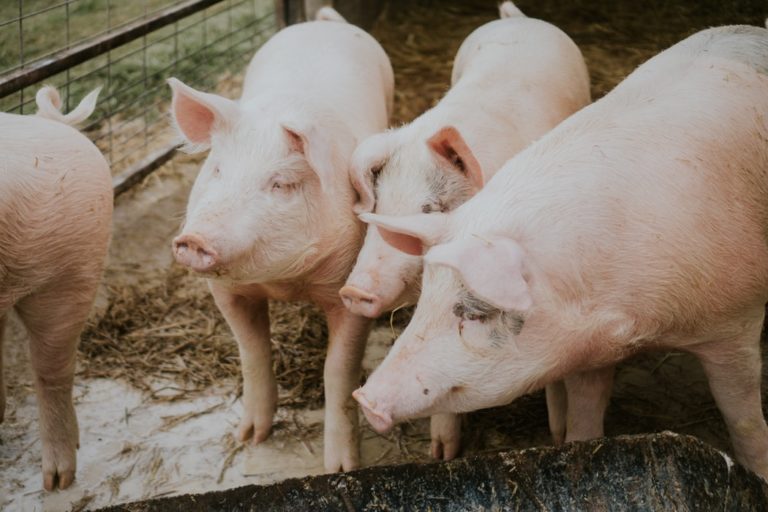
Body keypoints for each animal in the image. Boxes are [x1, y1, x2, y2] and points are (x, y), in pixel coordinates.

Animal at [168, 7, 393, 472]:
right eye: (216, 169)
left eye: (281, 184)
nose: (195, 238)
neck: (285, 283)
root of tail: (321, 22)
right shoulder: (225, 291)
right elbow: (251, 352)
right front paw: (250, 438)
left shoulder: (351, 286)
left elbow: (339, 371)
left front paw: (341, 467)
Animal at [339, 1, 591, 459]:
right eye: (379, 205)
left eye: (431, 207)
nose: (353, 291)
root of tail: (517, 19)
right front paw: (441, 454)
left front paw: (559, 435)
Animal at [353, 25, 768, 480]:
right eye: (426, 300)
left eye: (475, 313)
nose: (364, 398)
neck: (635, 324)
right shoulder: (589, 351)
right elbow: (584, 420)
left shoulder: (735, 323)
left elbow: (745, 420)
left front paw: (759, 475)